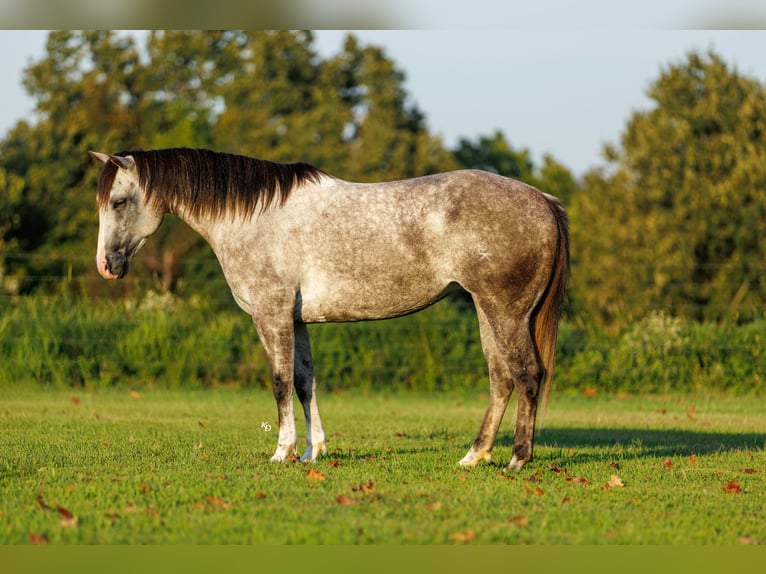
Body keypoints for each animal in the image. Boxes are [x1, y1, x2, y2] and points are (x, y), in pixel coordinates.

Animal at [89, 147, 569, 472]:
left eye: (118, 201)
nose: (106, 267)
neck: (253, 218)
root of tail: (543, 200)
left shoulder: (271, 315)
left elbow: (280, 382)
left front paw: (281, 452)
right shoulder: (296, 320)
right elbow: (305, 382)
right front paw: (311, 451)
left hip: (505, 312)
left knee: (527, 374)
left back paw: (517, 460)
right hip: (489, 311)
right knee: (501, 377)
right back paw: (474, 455)